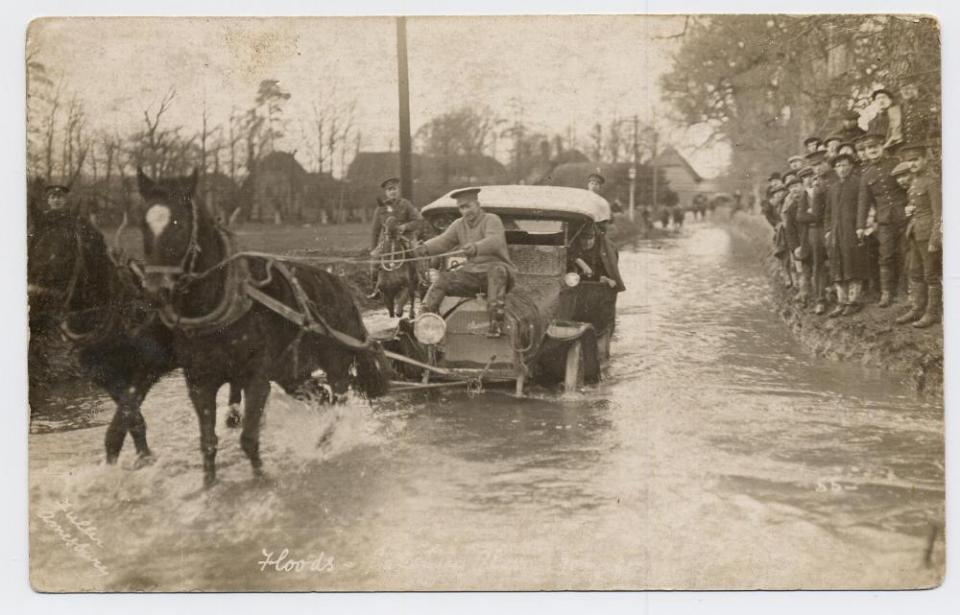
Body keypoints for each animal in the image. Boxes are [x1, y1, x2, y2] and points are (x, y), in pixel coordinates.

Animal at [136, 167, 390, 486]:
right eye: (143, 225)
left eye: (178, 224)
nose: (154, 291)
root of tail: (341, 285)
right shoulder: (199, 384)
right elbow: (208, 443)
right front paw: (209, 485)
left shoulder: (256, 379)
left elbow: (248, 438)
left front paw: (261, 479)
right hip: (291, 373)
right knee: (322, 397)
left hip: (335, 362)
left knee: (339, 401)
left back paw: (326, 441)